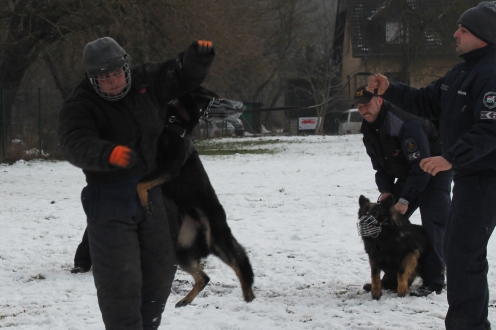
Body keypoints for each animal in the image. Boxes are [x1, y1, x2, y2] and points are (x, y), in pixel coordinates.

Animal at [136, 87, 254, 306]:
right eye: (216, 98)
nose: (239, 107)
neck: (176, 120)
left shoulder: (170, 167)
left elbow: (142, 183)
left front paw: (145, 202)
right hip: (182, 250)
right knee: (204, 278)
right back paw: (185, 300)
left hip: (217, 240)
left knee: (238, 261)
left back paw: (248, 292)